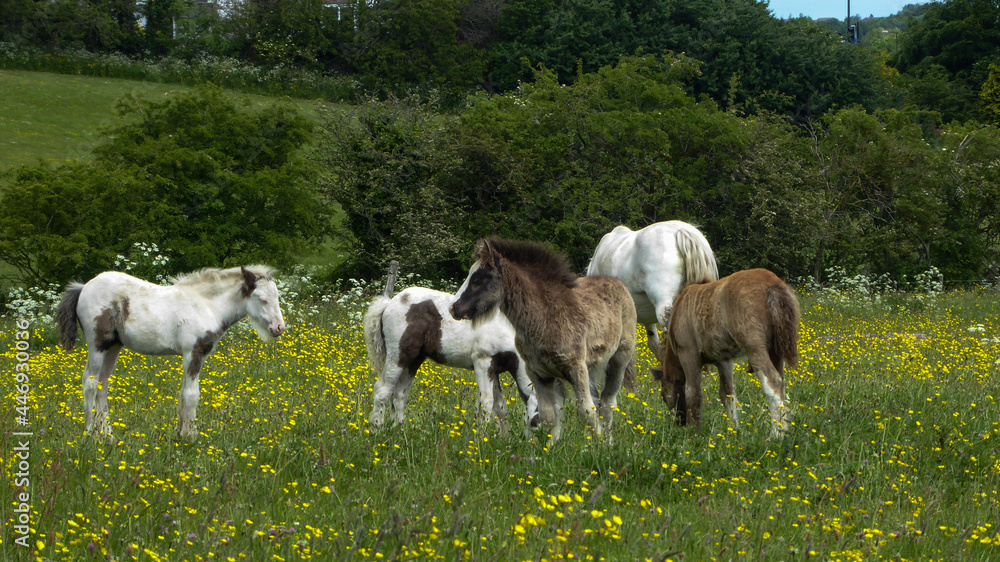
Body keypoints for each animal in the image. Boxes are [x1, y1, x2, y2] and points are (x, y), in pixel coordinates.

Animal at [55, 264, 286, 440]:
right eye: (262, 299)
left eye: (277, 297)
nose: (279, 328)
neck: (206, 305)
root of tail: (83, 287)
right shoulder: (193, 352)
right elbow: (192, 394)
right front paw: (191, 437)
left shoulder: (191, 355)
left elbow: (183, 393)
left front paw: (181, 434)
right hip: (97, 345)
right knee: (90, 382)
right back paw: (89, 435)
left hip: (113, 346)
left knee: (103, 385)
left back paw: (108, 436)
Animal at [368, 284, 540, 434]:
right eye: (537, 422)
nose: (538, 445)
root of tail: (389, 302)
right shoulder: (483, 363)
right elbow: (486, 402)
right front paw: (482, 438)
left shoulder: (494, 370)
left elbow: (500, 406)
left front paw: (504, 438)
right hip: (399, 356)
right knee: (382, 389)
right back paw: (377, 430)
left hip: (414, 359)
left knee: (399, 395)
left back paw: (399, 431)